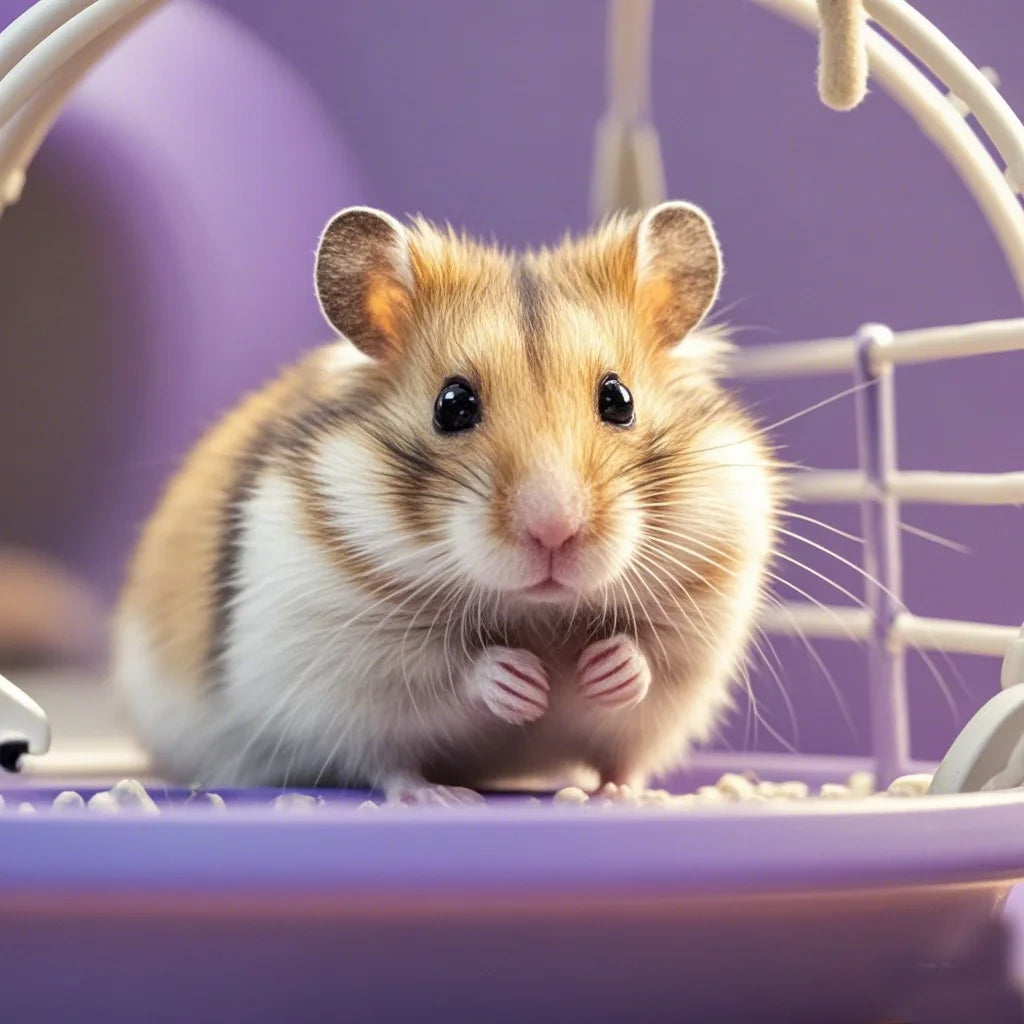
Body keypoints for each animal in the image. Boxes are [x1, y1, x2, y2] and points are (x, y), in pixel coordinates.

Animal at [112, 201, 777, 804]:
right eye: (452, 405)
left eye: (619, 400)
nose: (554, 532)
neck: (539, 615)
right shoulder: (346, 649)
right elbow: (447, 671)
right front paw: (526, 684)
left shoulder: (699, 625)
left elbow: (646, 661)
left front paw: (600, 670)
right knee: (389, 766)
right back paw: (443, 797)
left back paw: (621, 796)